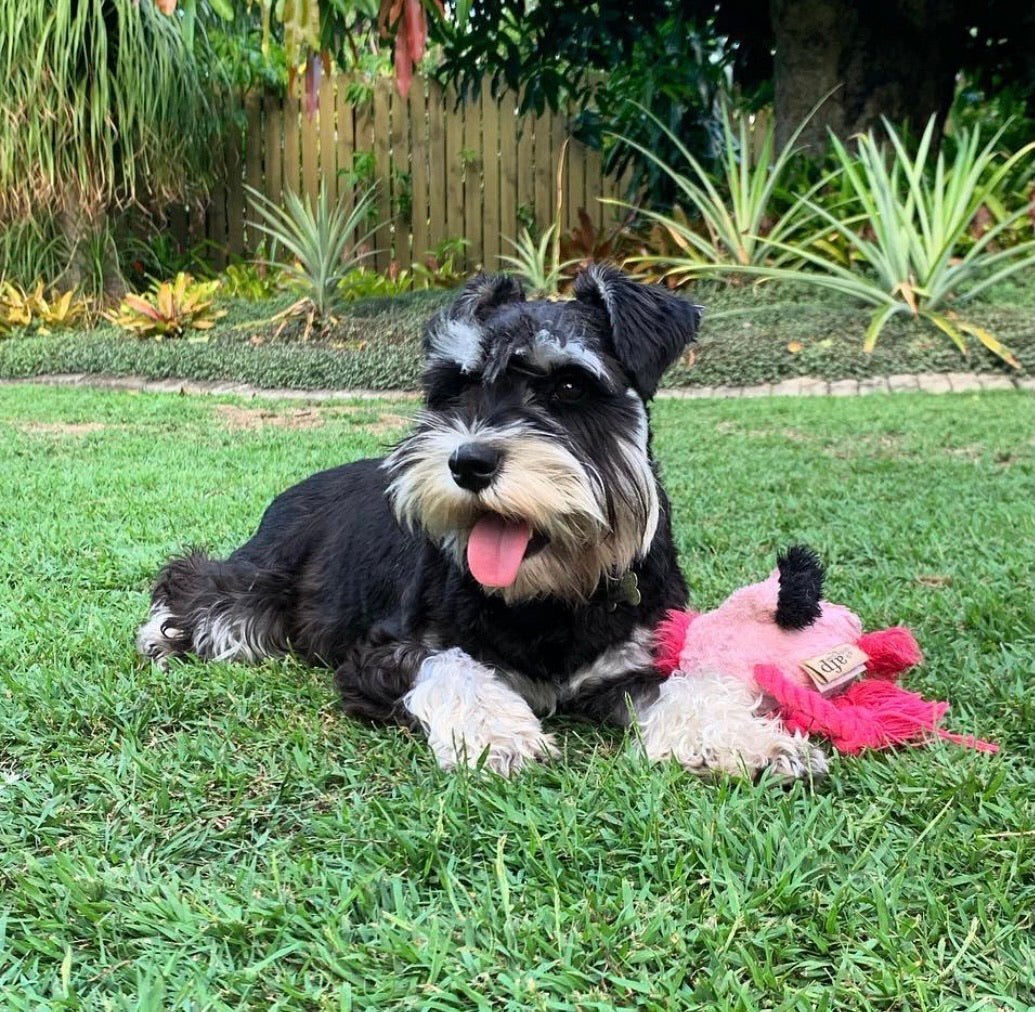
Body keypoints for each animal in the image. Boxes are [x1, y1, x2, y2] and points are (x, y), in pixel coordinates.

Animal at [135, 263, 823, 778]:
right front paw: (502, 734)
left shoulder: (635, 657)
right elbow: (454, 666)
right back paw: (160, 636)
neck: (549, 595)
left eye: (569, 387)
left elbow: (692, 683)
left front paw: (749, 739)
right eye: (458, 386)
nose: (468, 462)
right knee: (198, 589)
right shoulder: (385, 653)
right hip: (263, 581)